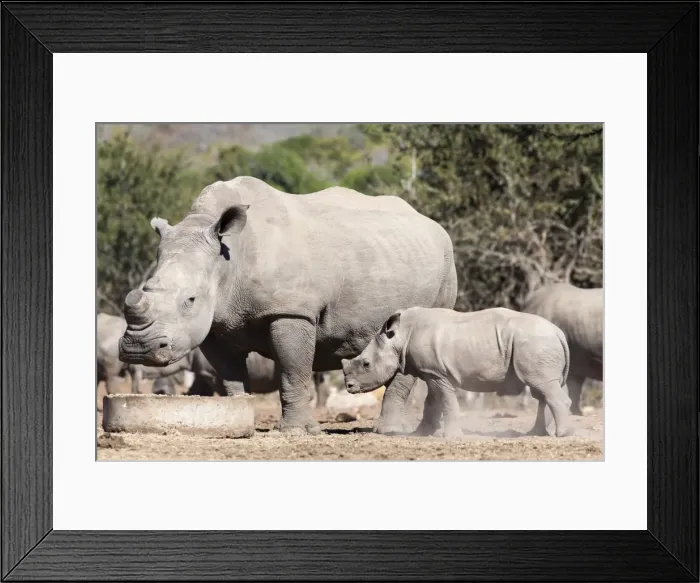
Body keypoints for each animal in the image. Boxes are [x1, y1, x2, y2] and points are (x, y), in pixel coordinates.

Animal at [118, 176, 457, 435]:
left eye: (190, 300)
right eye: (144, 290)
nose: (138, 348)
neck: (228, 259)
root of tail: (434, 226)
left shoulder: (291, 311)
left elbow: (292, 369)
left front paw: (296, 432)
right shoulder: (214, 322)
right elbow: (230, 375)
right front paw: (238, 417)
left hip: (446, 265)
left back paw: (390, 431)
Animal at [341, 307, 574, 438]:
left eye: (366, 364)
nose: (349, 387)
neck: (399, 337)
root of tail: (558, 332)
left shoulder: (437, 373)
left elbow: (446, 401)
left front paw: (451, 436)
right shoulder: (433, 372)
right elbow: (433, 401)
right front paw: (421, 434)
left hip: (536, 343)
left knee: (543, 386)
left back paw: (561, 435)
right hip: (539, 345)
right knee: (544, 389)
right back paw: (538, 434)